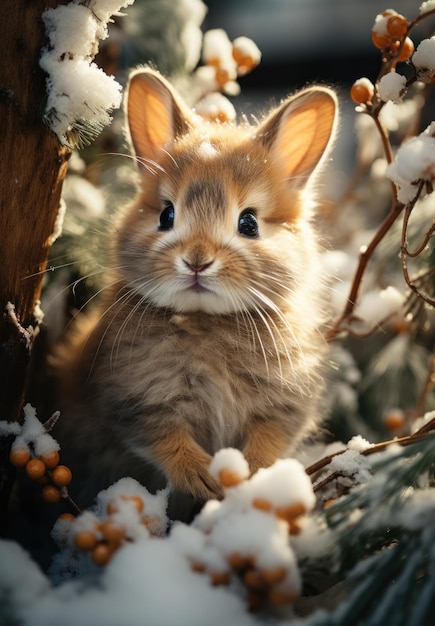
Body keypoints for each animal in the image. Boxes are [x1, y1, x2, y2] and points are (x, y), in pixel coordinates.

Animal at [51, 67, 338, 516]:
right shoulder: (135, 403)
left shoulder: (282, 408)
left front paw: (251, 478)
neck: (206, 322)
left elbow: (269, 440)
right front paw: (200, 477)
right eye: (166, 215)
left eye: (249, 223)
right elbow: (163, 437)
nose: (198, 261)